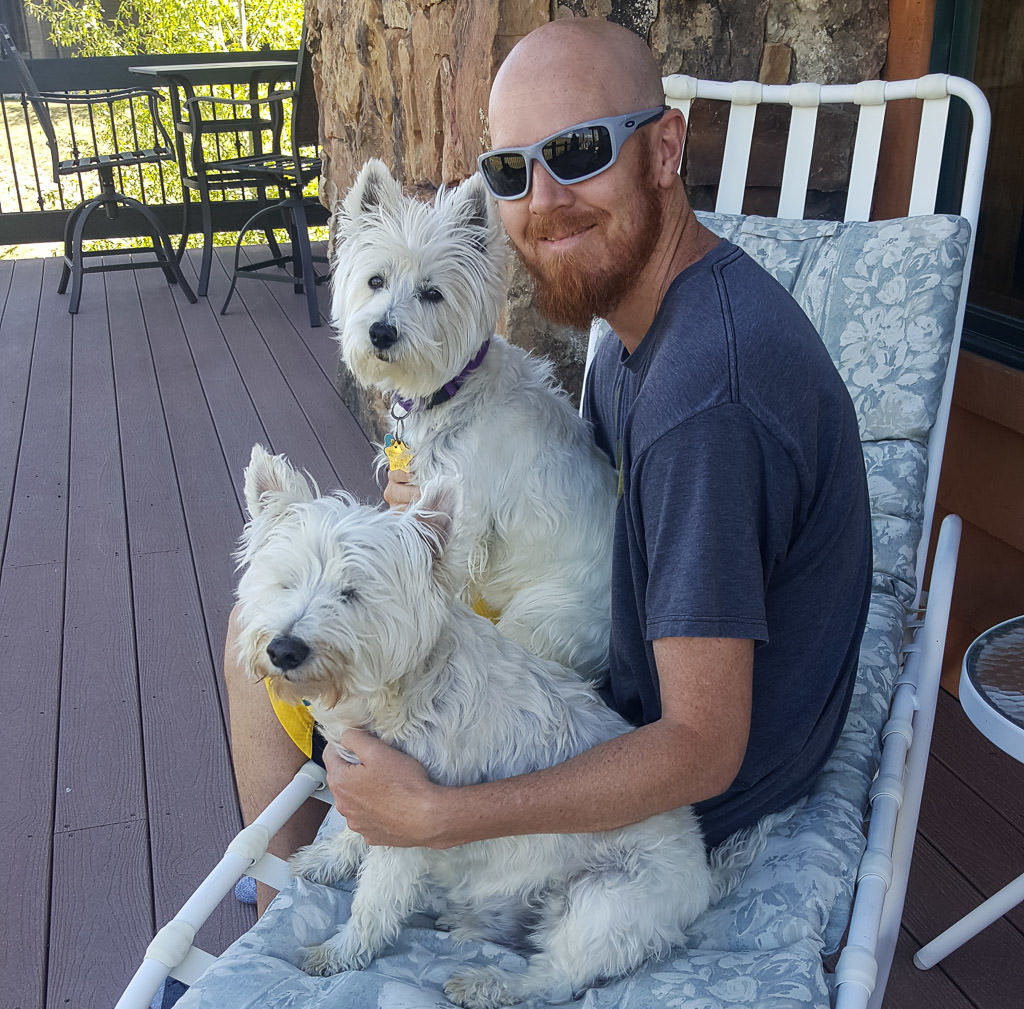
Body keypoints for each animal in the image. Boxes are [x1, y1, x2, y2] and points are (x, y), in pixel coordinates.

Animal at [234, 446, 774, 1007]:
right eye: (286, 581)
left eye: (352, 593)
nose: (284, 649)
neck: (403, 687)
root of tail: (704, 880)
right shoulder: (368, 787)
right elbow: (354, 833)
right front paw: (329, 858)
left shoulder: (405, 822)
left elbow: (376, 899)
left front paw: (340, 953)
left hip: (608, 897)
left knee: (558, 976)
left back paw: (487, 983)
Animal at [327, 161, 614, 680]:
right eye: (376, 281)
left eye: (432, 294)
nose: (381, 332)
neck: (452, 393)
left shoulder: (465, 518)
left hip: (545, 618)